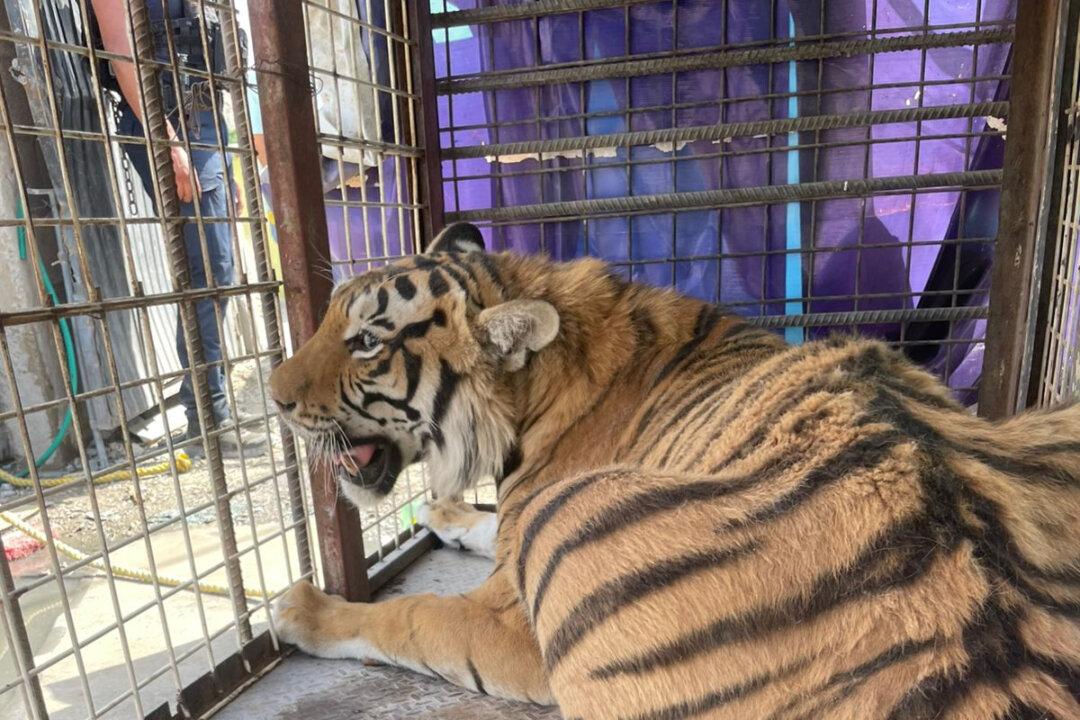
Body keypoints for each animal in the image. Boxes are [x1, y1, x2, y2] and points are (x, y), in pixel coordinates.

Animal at [269, 221, 1080, 719]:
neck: (533, 393)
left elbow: (408, 616)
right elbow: (487, 528)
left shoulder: (514, 618)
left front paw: (303, 609)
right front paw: (445, 513)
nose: (273, 397)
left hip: (572, 524)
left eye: (366, 341)